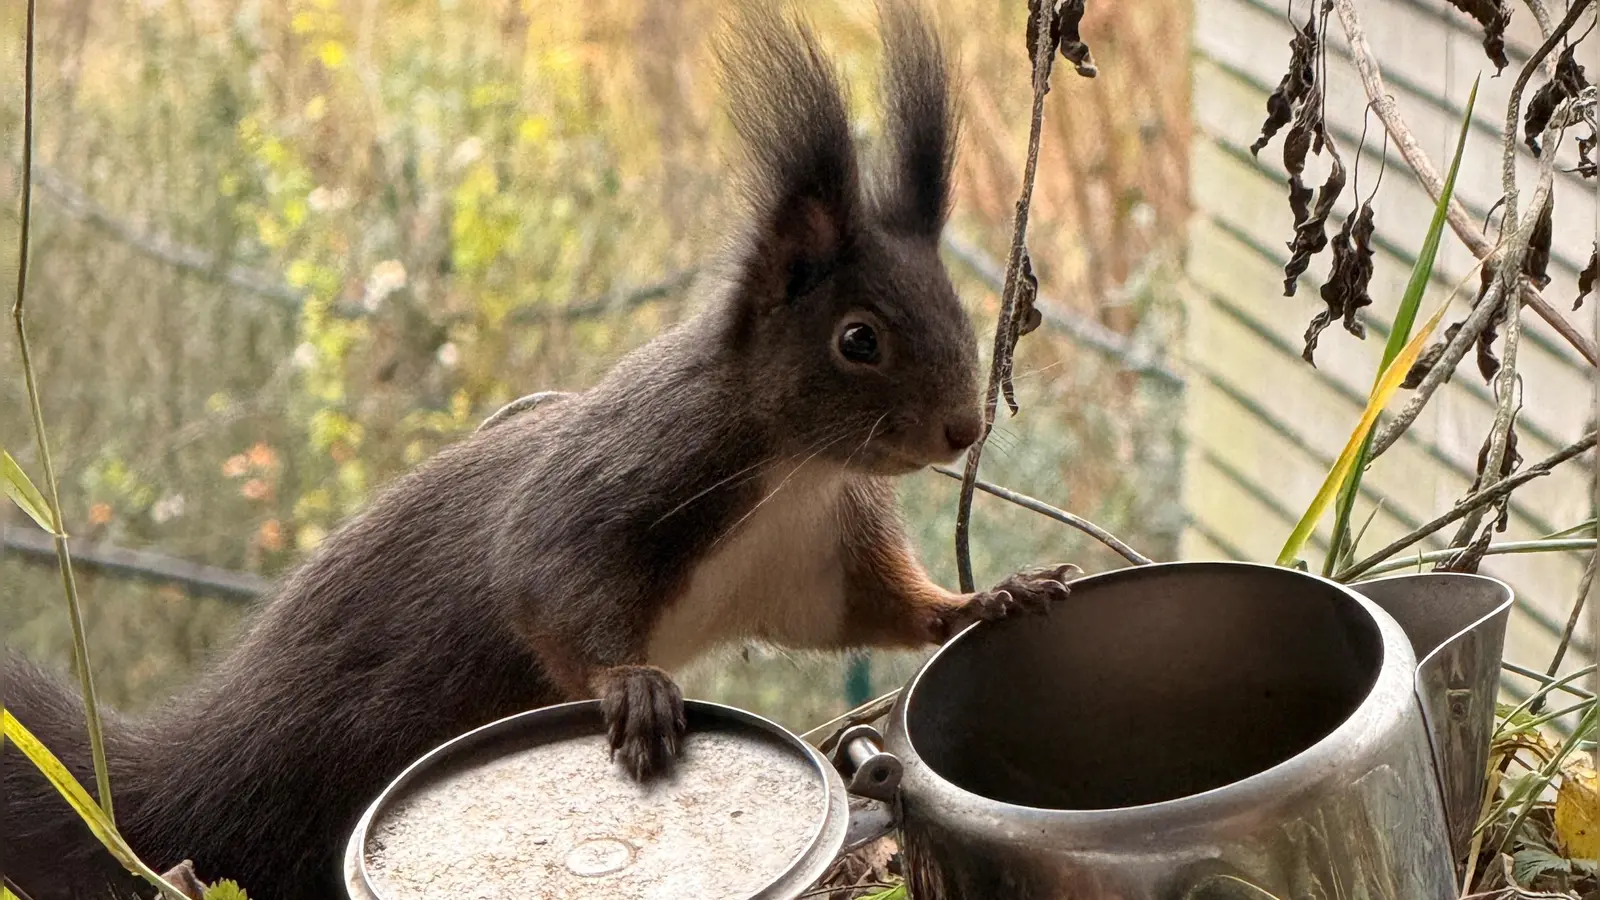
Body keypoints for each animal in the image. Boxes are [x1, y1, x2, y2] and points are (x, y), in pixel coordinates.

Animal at [1, 4, 1076, 899]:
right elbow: (545, 581)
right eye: (859, 340)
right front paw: (632, 687)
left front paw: (988, 599)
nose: (963, 429)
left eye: (956, 308)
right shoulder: (628, 475)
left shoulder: (810, 556)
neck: (795, 468)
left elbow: (877, 609)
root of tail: (185, 780)